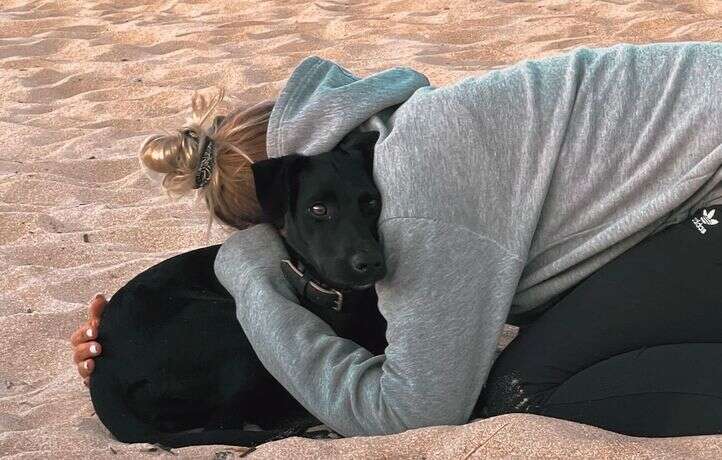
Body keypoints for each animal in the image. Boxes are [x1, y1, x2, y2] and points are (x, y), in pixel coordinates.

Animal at [88, 131, 388, 448]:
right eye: (318, 209)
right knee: (226, 424)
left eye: (371, 202)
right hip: (232, 329)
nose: (371, 263)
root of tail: (104, 370)